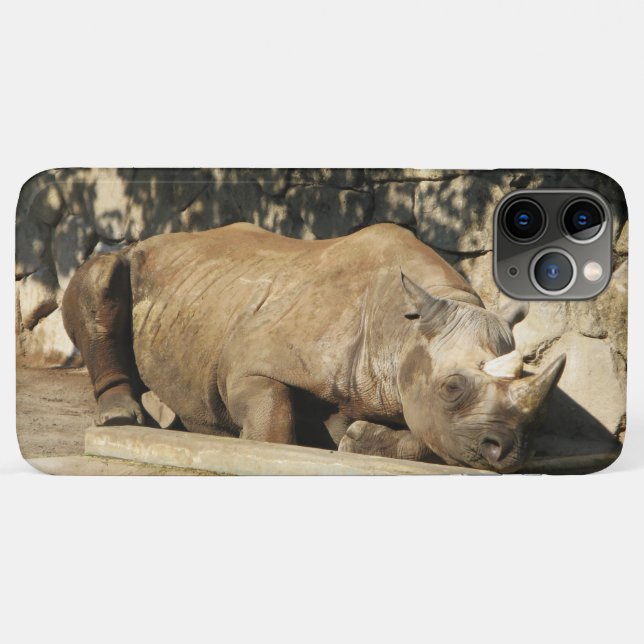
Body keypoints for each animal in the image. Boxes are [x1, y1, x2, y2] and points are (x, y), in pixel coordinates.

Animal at [62, 222, 565, 473]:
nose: (509, 452)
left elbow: (429, 438)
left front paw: (357, 439)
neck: (401, 331)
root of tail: (152, 239)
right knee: (102, 273)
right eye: (452, 388)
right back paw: (122, 419)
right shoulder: (251, 365)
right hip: (134, 259)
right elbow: (272, 420)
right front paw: (260, 447)